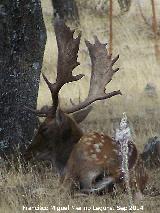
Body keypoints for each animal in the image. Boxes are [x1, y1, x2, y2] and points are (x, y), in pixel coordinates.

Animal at [24, 18, 148, 198]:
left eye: (44, 128)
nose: (26, 153)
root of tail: (119, 172)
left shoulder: (66, 174)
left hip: (81, 162)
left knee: (68, 190)